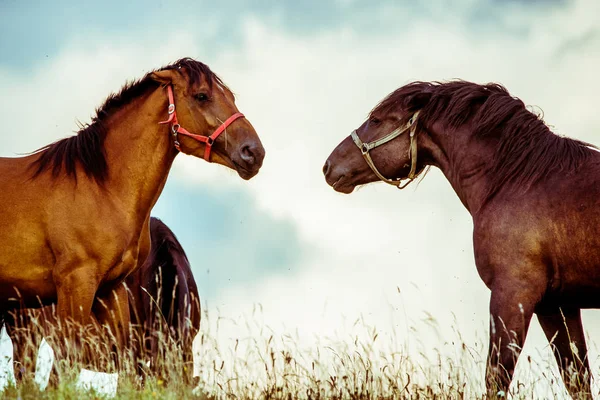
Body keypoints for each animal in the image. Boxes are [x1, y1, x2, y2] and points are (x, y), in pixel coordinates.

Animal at [326, 79, 596, 396]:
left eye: (376, 120)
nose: (328, 166)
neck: (521, 181)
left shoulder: (513, 295)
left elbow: (497, 377)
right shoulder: (558, 305)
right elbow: (577, 379)